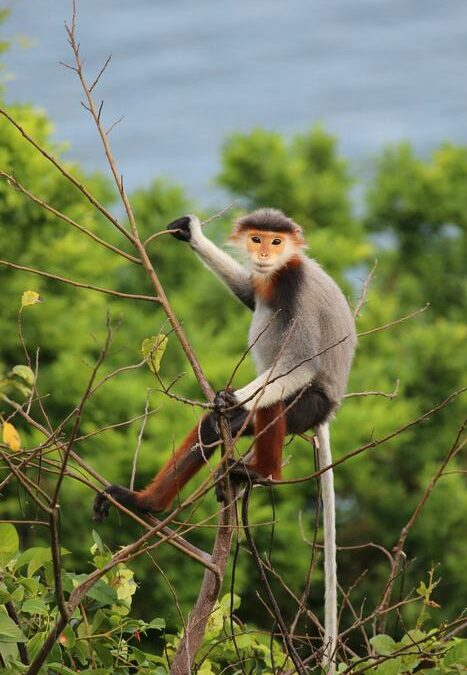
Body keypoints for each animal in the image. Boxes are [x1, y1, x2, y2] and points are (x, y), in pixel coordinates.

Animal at [93, 207, 356, 672]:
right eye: (256, 239)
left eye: (276, 242)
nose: (264, 254)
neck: (281, 269)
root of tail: (330, 410)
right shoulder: (266, 281)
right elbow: (251, 293)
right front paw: (191, 234)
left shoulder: (293, 284)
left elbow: (299, 364)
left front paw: (228, 397)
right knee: (213, 429)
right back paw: (148, 502)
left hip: (308, 405)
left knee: (272, 401)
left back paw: (258, 469)